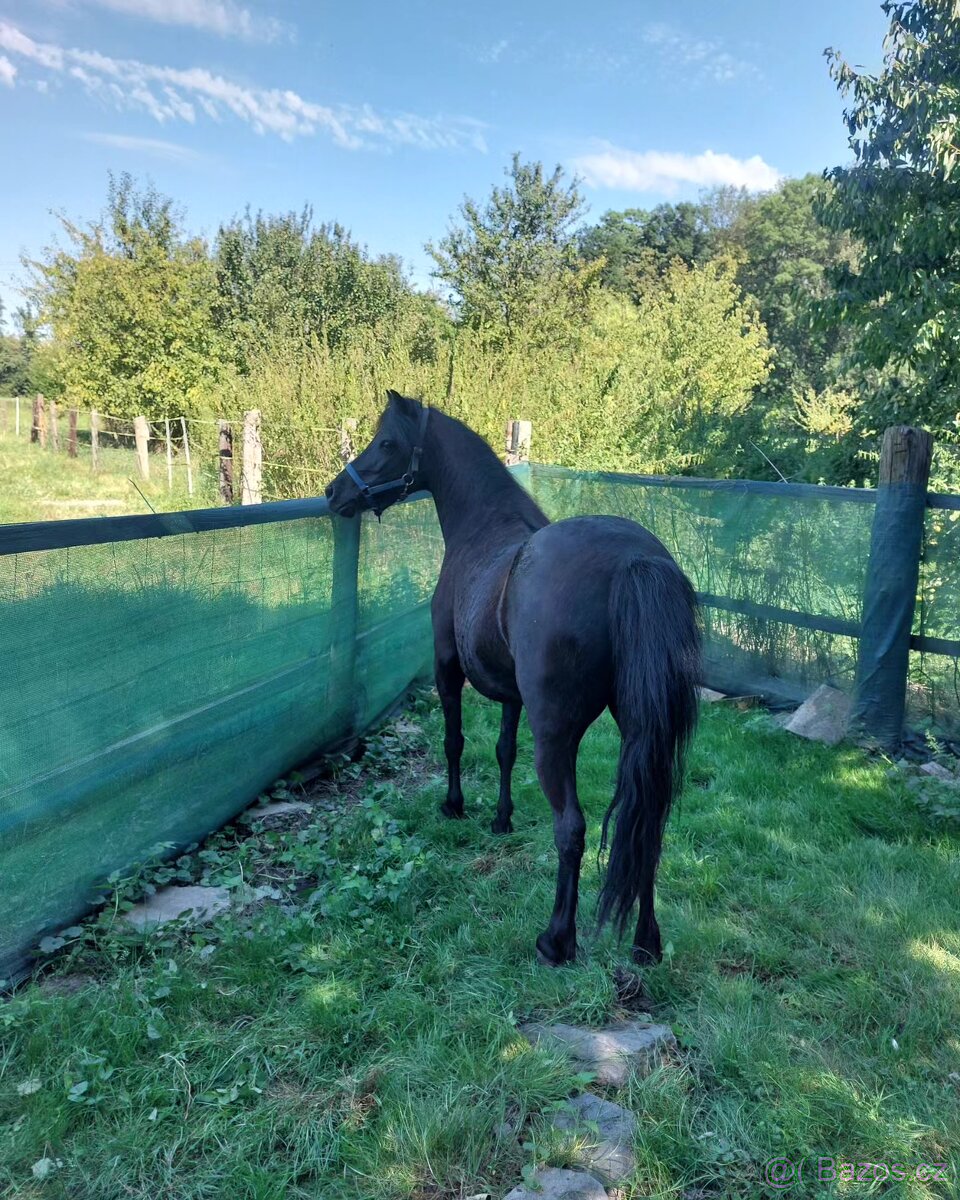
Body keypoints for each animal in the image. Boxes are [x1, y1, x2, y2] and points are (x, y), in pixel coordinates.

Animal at [325, 391, 701, 966]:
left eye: (385, 442)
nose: (334, 493)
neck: (484, 528)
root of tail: (634, 560)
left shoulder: (447, 670)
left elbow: (454, 742)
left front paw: (455, 806)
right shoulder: (509, 693)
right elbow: (504, 750)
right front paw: (501, 819)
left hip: (556, 737)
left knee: (571, 828)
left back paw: (557, 940)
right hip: (642, 734)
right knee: (647, 828)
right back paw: (645, 944)